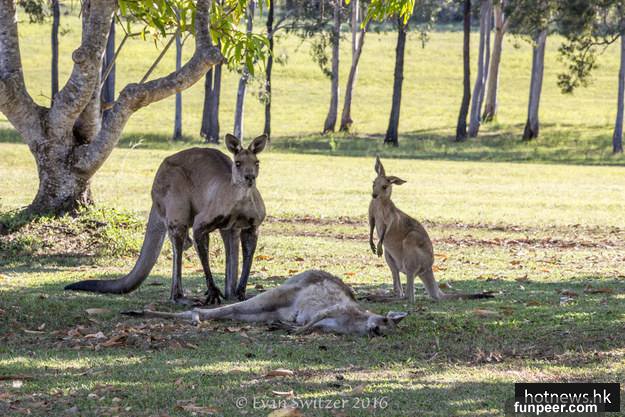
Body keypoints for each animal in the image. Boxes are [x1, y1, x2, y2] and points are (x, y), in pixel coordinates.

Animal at [65, 134, 268, 305]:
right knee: (181, 240)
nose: (249, 177)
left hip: (226, 227)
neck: (240, 198)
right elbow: (201, 244)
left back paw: (232, 294)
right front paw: (212, 292)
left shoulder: (253, 225)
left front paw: (241, 292)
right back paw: (180, 297)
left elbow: (249, 253)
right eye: (238, 163)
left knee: (223, 243)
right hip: (175, 200)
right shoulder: (202, 221)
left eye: (257, 162)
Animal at [368, 157, 494, 303]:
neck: (380, 203)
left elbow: (385, 231)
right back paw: (376, 297)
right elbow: (371, 227)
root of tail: (429, 269)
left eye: (384, 186)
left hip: (411, 246)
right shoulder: (372, 215)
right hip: (390, 258)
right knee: (400, 289)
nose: (374, 195)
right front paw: (372, 245)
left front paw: (378, 246)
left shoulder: (390, 218)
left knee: (409, 297)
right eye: (373, 183)